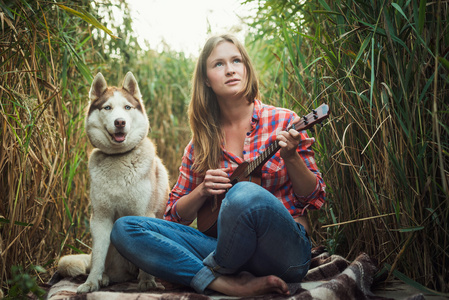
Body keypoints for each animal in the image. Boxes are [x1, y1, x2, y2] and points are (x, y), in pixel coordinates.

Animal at [56, 71, 168, 292]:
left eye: (127, 107)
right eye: (107, 107)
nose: (120, 122)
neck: (119, 159)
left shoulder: (144, 213)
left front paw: (147, 282)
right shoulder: (101, 218)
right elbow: (99, 258)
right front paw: (91, 283)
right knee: (104, 265)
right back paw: (105, 278)